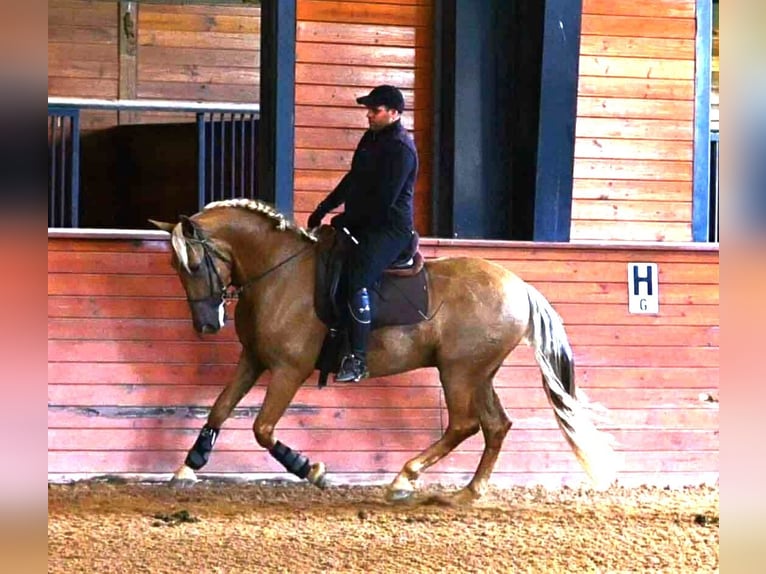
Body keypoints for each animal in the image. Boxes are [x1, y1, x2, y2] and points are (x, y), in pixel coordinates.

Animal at [150, 198, 617, 504]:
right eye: (174, 267)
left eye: (194, 265)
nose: (207, 325)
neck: (279, 273)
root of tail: (519, 286)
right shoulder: (253, 360)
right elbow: (219, 409)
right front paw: (188, 465)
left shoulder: (288, 370)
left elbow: (262, 429)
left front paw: (311, 469)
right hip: (478, 373)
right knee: (496, 425)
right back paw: (469, 492)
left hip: (458, 372)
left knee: (464, 424)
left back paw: (404, 479)